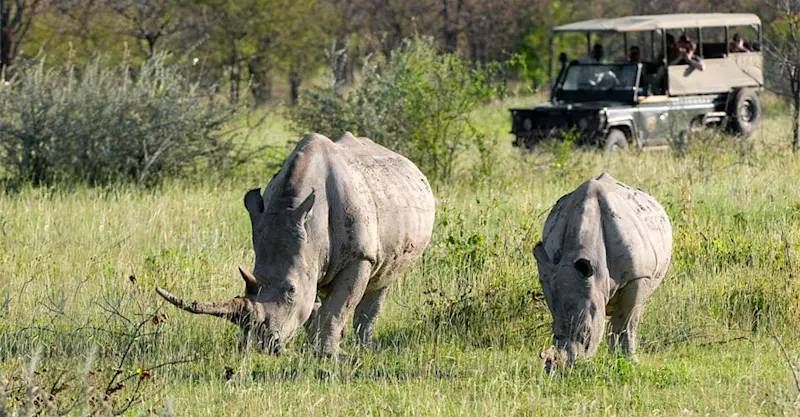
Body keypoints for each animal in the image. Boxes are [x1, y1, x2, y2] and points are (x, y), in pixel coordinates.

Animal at [155, 132, 436, 357]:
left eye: (291, 290)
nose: (263, 345)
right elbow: (315, 306)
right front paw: (315, 346)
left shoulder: (360, 256)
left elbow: (338, 309)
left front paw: (328, 355)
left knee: (383, 279)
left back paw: (364, 347)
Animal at [533, 172, 672, 370]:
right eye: (553, 331)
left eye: (586, 335)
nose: (561, 369)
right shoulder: (548, 275)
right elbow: (557, 311)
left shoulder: (637, 277)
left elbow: (625, 322)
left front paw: (627, 362)